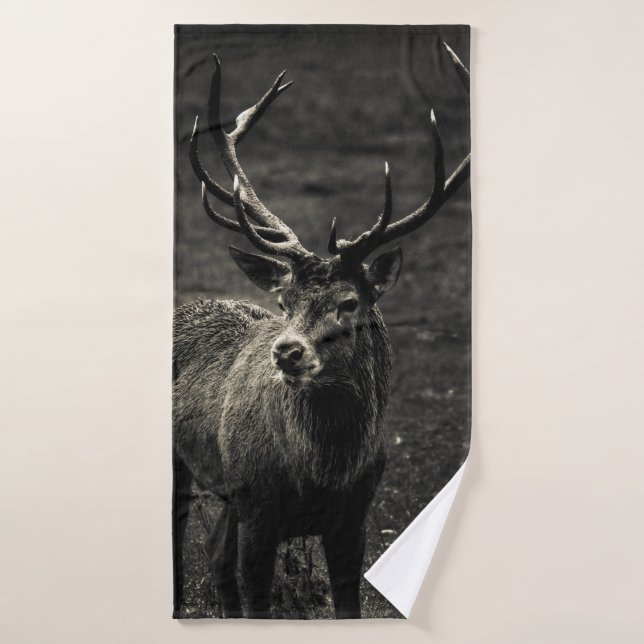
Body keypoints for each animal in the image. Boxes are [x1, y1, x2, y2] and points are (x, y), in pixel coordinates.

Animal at [173, 43, 470, 619]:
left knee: (214, 552)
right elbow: (259, 600)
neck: (321, 476)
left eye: (349, 303)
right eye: (283, 301)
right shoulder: (259, 509)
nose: (287, 352)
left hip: (229, 495)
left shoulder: (353, 519)